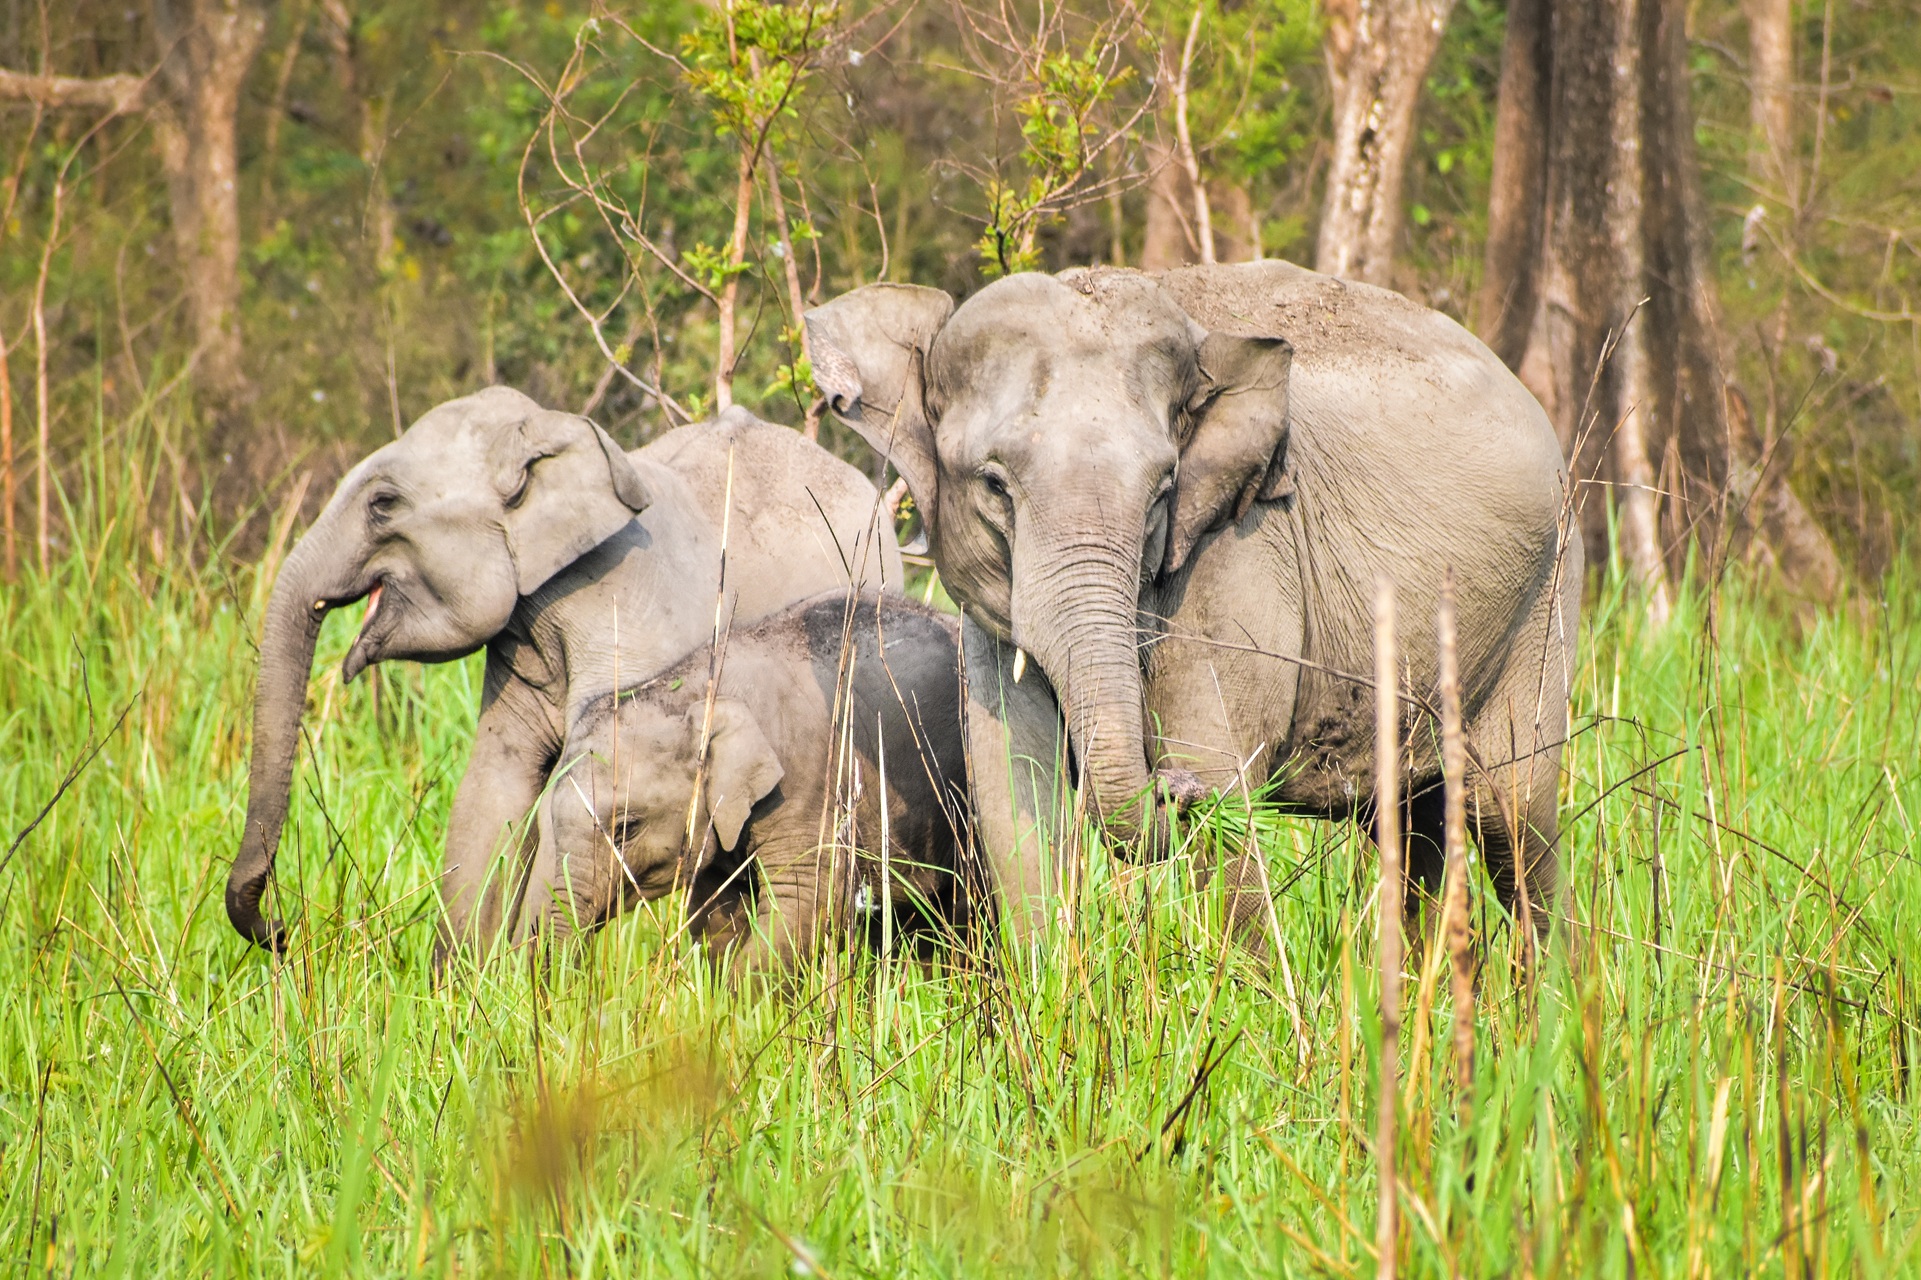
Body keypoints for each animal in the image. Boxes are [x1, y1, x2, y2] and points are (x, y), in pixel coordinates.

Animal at [226, 387, 904, 956]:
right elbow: (494, 782)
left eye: (383, 504)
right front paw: (462, 996)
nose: (282, 932)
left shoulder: (630, 617)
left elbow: (579, 780)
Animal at [803, 259, 1580, 940]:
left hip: (1548, 596)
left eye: (1164, 488)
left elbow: (1222, 786)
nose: (1166, 785)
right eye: (994, 484)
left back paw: (1545, 1003)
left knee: (1513, 821)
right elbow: (1014, 797)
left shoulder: (1237, 551)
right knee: (1416, 824)